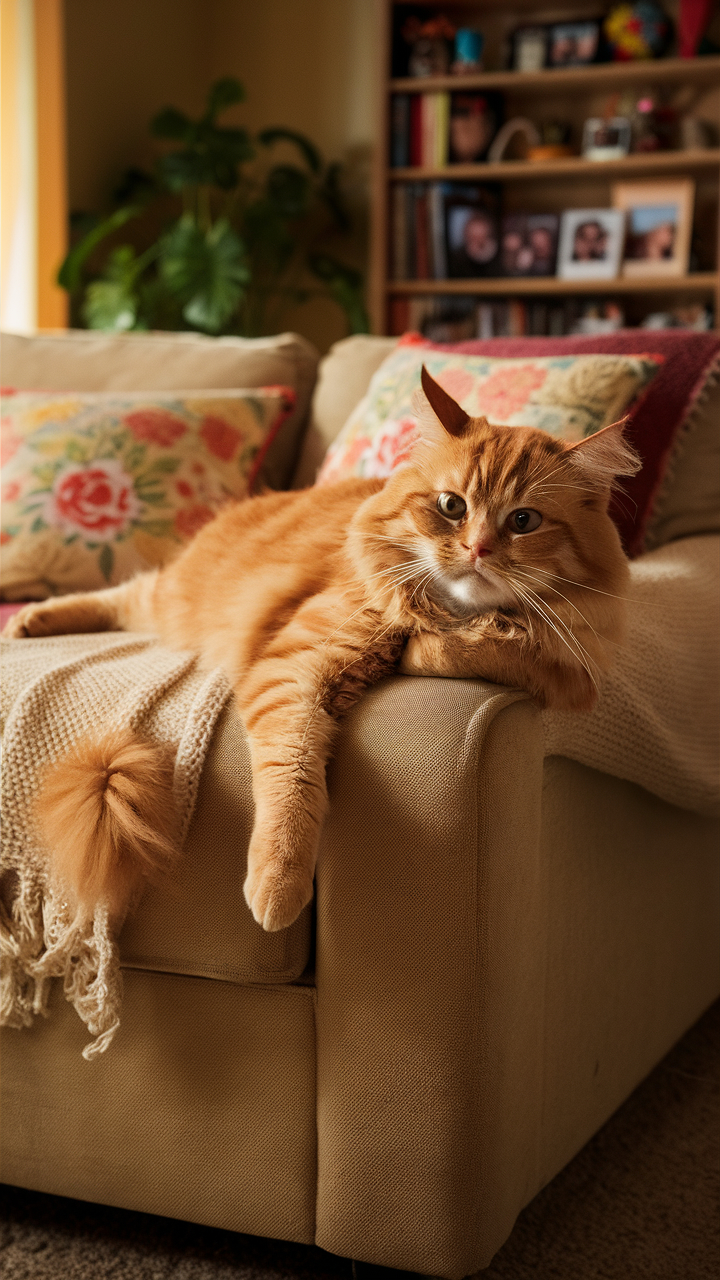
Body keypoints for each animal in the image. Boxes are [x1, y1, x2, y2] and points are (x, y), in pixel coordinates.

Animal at [4, 368, 632, 931]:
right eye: (452, 506)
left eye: (524, 521)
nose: (477, 550)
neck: (453, 614)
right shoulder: (292, 671)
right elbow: (293, 774)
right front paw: (279, 885)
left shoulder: (574, 671)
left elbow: (504, 652)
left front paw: (435, 647)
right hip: (177, 599)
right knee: (127, 593)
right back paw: (32, 619)